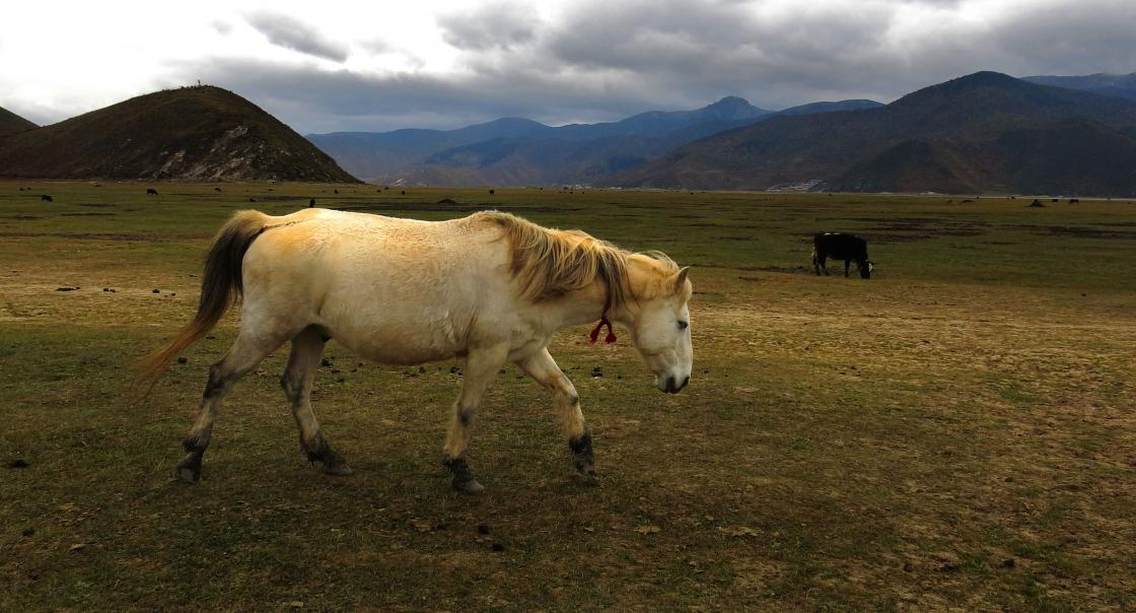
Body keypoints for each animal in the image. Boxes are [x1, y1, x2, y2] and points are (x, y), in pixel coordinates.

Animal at [142, 208, 690, 494]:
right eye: (682, 322)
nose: (679, 382)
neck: (528, 273)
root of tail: (274, 223)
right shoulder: (488, 353)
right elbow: (467, 411)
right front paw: (460, 471)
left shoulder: (527, 351)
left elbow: (568, 392)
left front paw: (584, 458)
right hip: (267, 330)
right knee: (220, 377)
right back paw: (191, 459)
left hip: (311, 333)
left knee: (295, 387)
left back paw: (326, 456)